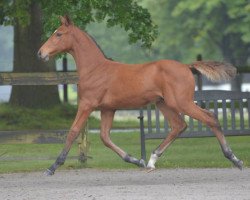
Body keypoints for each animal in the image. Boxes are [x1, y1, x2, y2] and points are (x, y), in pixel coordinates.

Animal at [38, 15, 243, 175]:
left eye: (58, 34)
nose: (40, 53)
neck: (96, 69)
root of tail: (186, 66)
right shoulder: (108, 109)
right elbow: (105, 137)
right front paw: (136, 160)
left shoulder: (87, 104)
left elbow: (73, 131)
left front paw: (53, 166)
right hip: (163, 103)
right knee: (179, 125)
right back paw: (151, 160)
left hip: (181, 102)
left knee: (210, 118)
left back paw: (235, 159)